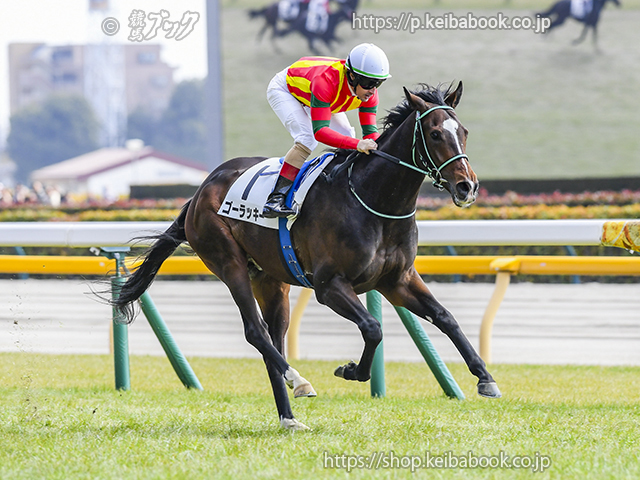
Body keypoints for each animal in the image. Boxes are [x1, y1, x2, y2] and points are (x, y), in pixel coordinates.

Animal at [113, 82, 501, 431]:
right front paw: (351, 370)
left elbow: (445, 318)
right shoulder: (329, 286)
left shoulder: (398, 280)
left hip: (270, 280)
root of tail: (200, 191)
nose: (467, 186)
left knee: (273, 338)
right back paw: (298, 381)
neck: (374, 201)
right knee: (256, 332)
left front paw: (485, 377)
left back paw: (288, 417)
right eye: (435, 134)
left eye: (463, 131)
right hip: (228, 261)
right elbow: (372, 328)